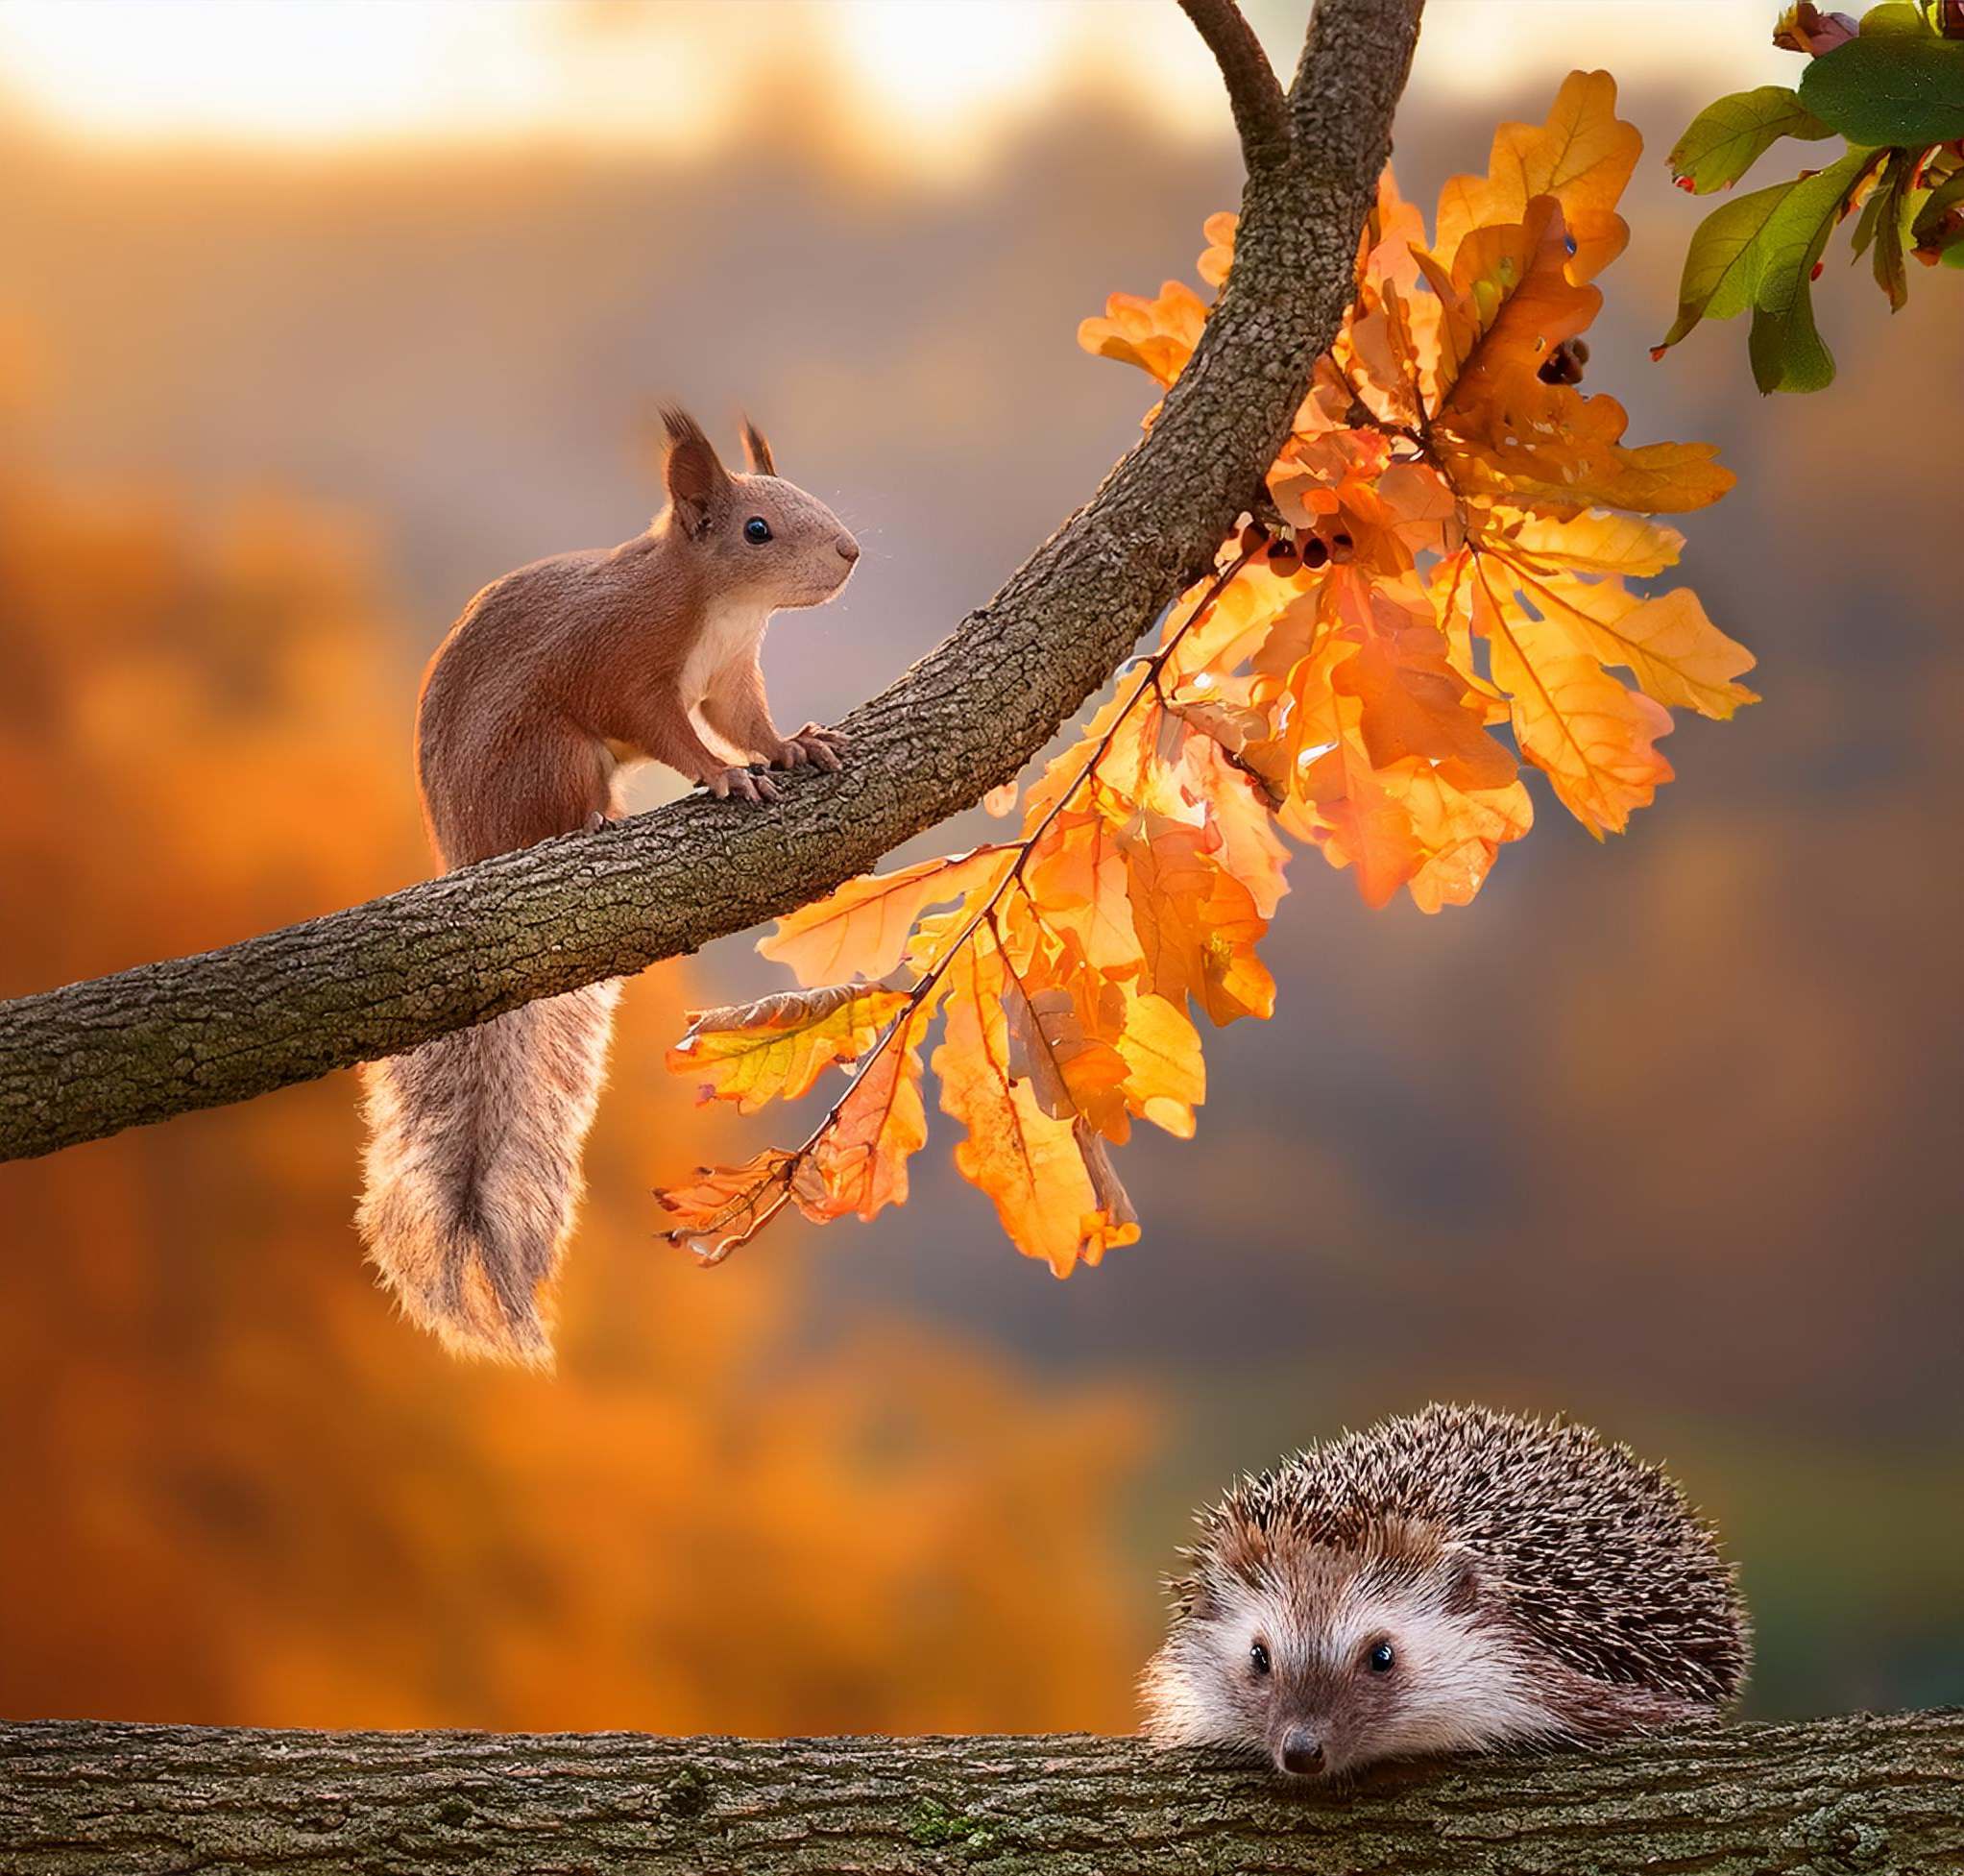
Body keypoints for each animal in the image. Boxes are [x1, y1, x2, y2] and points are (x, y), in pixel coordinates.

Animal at [355, 414, 860, 1367]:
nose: (851, 551)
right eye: (757, 530)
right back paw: (586, 826)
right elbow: (672, 731)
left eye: (809, 494)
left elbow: (746, 722)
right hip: (550, 754)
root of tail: (464, 850)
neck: (721, 608)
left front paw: (791, 746)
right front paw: (725, 777)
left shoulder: (732, 677)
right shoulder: (622, 663)